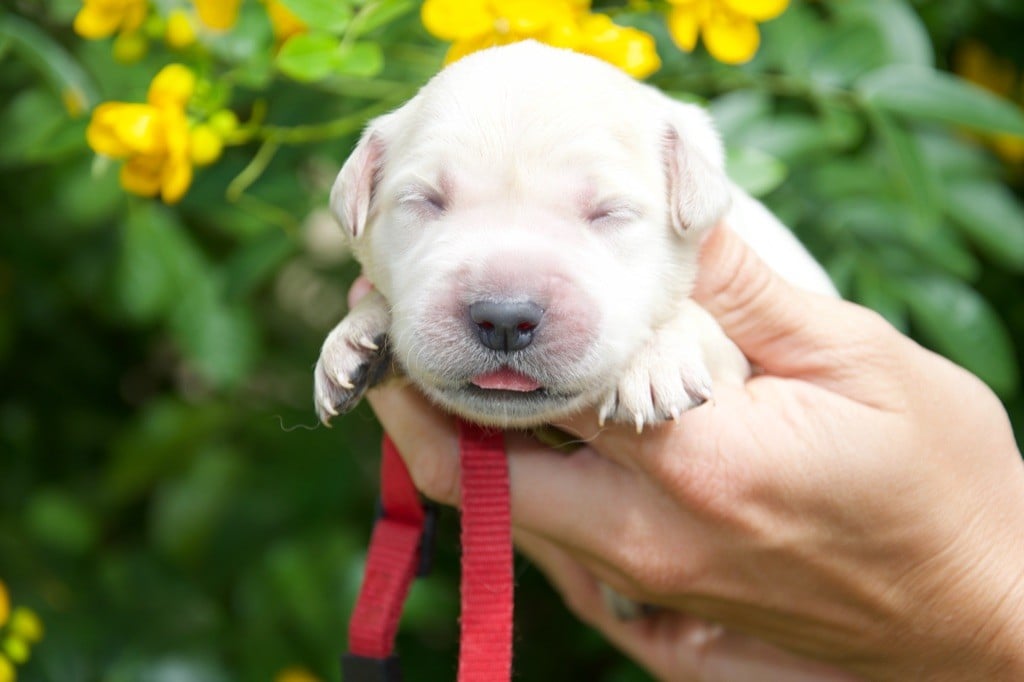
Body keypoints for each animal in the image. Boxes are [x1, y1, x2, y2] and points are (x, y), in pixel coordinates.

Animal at [315, 38, 835, 430]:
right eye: (425, 201)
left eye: (609, 213)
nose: (505, 319)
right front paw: (357, 331)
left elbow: (703, 320)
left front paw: (655, 360)